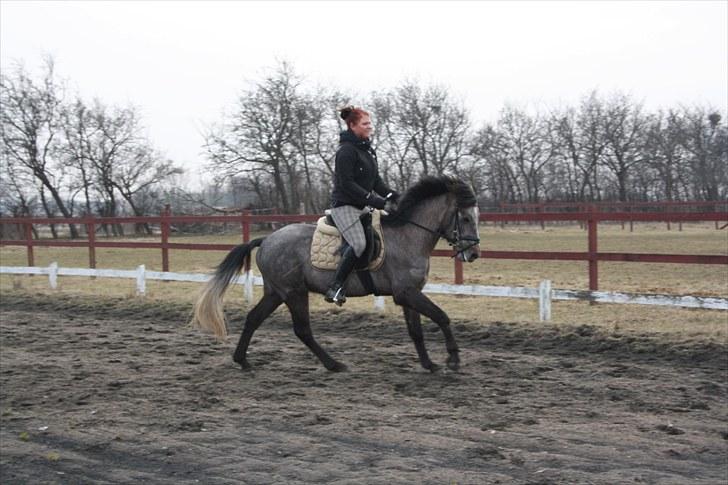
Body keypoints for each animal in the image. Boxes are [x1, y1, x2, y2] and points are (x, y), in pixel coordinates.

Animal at [192, 176, 481, 372]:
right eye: (466, 218)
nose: (474, 253)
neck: (408, 234)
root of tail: (266, 240)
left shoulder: (409, 294)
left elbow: (416, 331)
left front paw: (429, 364)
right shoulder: (406, 293)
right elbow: (441, 317)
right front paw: (453, 359)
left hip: (276, 292)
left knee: (254, 318)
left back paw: (242, 359)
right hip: (294, 292)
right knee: (302, 330)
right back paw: (334, 364)